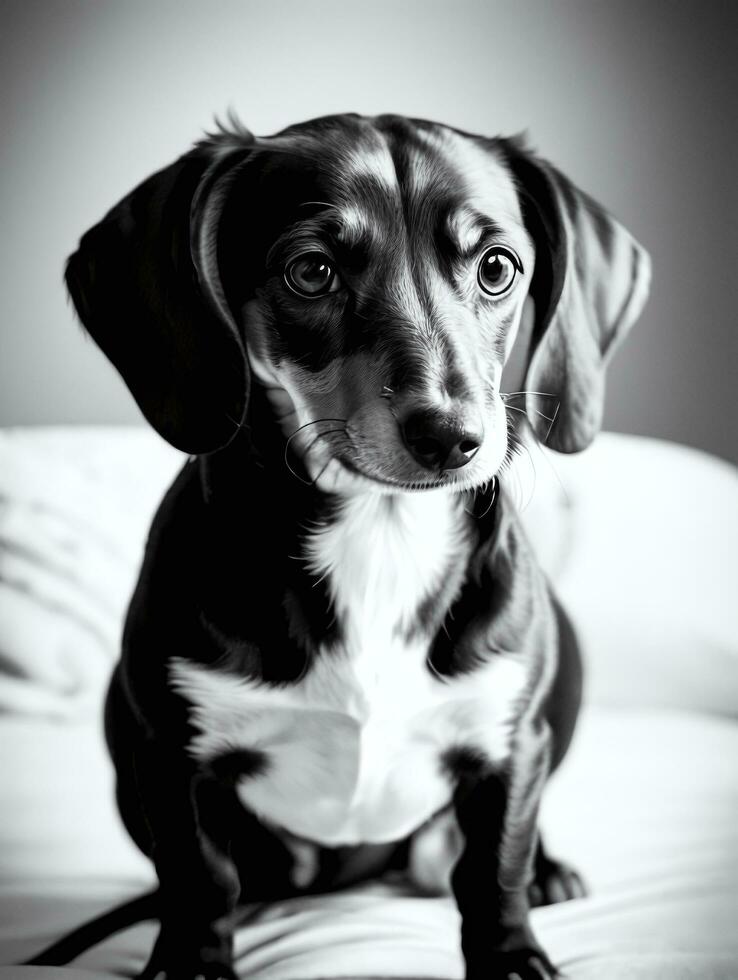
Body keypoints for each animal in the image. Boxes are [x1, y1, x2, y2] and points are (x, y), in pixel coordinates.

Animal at [25, 111, 648, 976]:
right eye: (311, 271)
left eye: (497, 267)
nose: (452, 438)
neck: (379, 538)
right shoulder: (172, 754)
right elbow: (199, 879)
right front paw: (191, 960)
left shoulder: (510, 744)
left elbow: (493, 871)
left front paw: (515, 953)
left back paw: (551, 869)